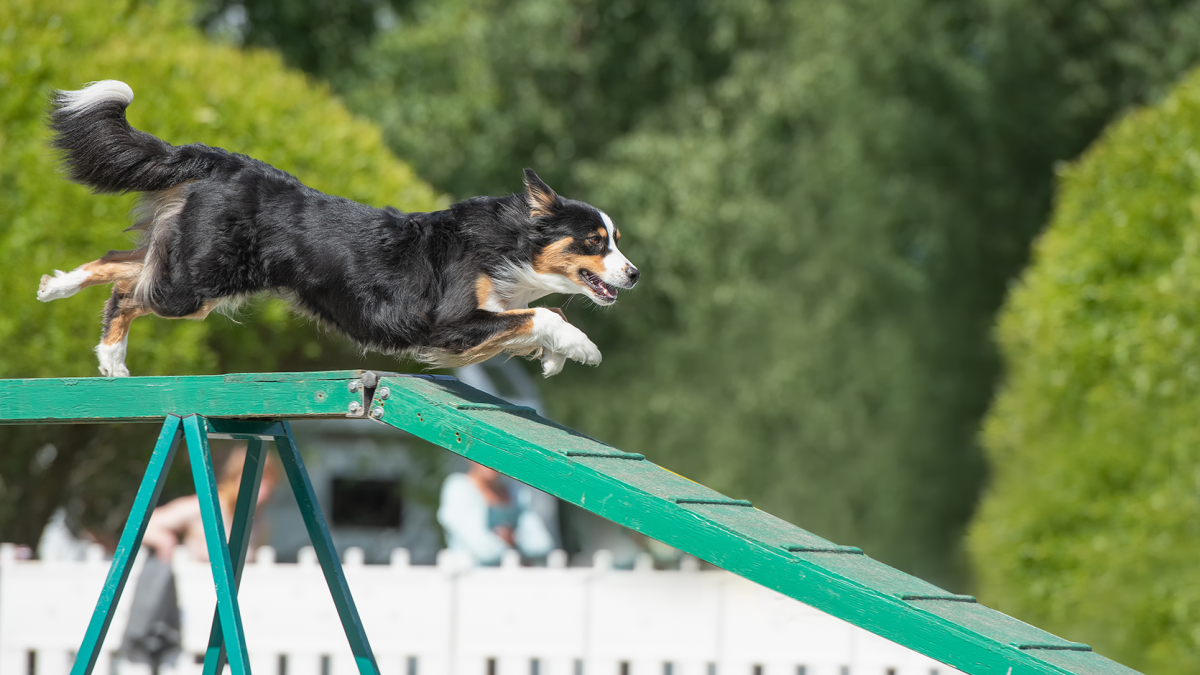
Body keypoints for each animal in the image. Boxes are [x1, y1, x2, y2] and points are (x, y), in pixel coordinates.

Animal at [37, 81, 638, 374]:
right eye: (594, 242)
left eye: (616, 241)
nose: (634, 275)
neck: (506, 245)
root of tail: (225, 162)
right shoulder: (448, 323)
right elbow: (541, 315)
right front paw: (580, 349)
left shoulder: (482, 321)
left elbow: (534, 319)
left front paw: (557, 355)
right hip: (198, 284)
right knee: (129, 289)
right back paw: (113, 360)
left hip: (192, 265)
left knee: (119, 264)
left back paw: (57, 287)